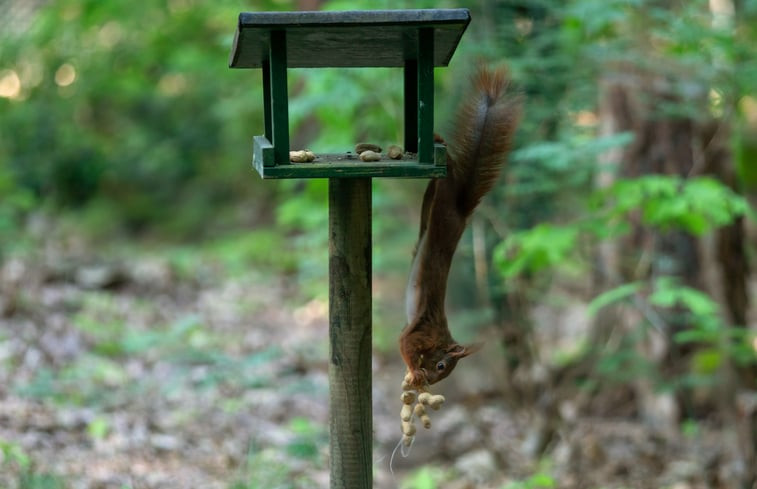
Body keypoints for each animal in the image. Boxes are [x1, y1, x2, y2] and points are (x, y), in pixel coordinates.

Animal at [396, 66, 520, 386]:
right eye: (442, 366)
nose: (431, 381)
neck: (440, 338)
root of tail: (462, 209)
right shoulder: (420, 334)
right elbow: (404, 344)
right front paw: (415, 370)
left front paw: (412, 374)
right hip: (445, 203)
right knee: (449, 169)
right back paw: (439, 143)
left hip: (431, 207)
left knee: (432, 190)